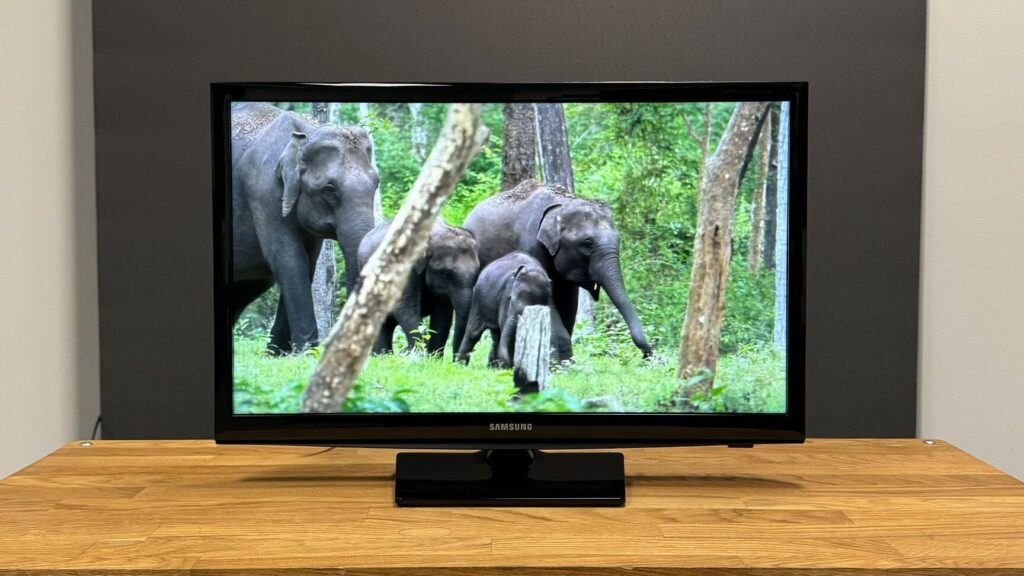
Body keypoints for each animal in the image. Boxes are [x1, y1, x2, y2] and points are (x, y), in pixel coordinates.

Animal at [230, 102, 379, 354]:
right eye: (329, 190)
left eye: (376, 183)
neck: (306, 131)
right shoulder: (262, 190)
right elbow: (289, 259)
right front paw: (306, 352)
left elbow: (308, 262)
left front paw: (278, 354)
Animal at [358, 218, 480, 359]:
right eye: (446, 273)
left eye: (477, 272)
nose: (455, 361)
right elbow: (406, 308)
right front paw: (420, 357)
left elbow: (442, 314)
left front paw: (434, 358)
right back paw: (382, 356)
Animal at [463, 179, 653, 361]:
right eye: (587, 243)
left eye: (619, 240)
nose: (646, 356)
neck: (563, 204)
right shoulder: (531, 244)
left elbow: (569, 304)